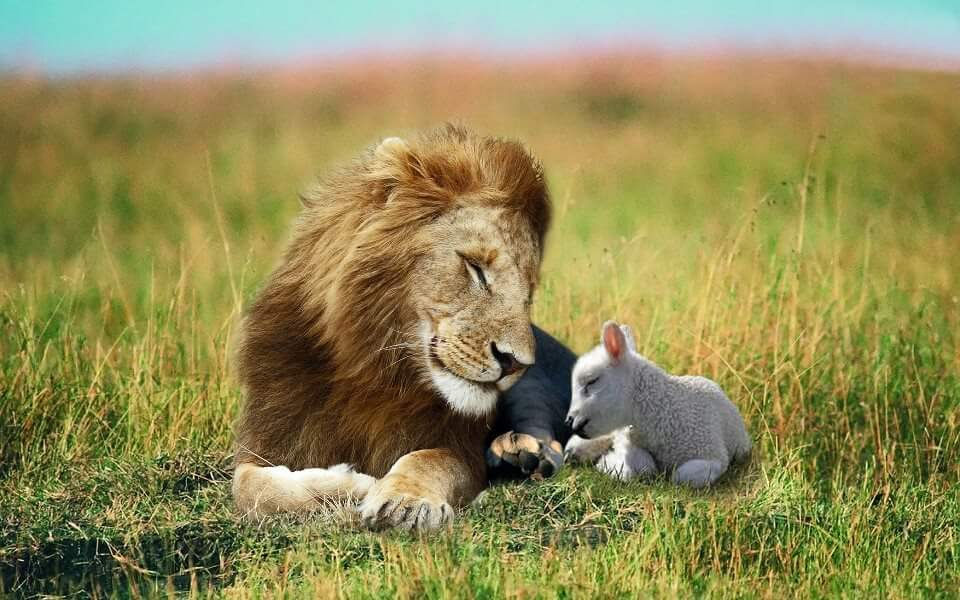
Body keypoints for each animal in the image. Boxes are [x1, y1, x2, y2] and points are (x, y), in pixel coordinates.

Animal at [232, 125, 552, 530]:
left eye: (528, 293)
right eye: (476, 268)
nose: (516, 364)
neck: (374, 371)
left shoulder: (461, 448)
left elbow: (428, 459)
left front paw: (403, 501)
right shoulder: (270, 438)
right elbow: (249, 488)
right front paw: (350, 485)